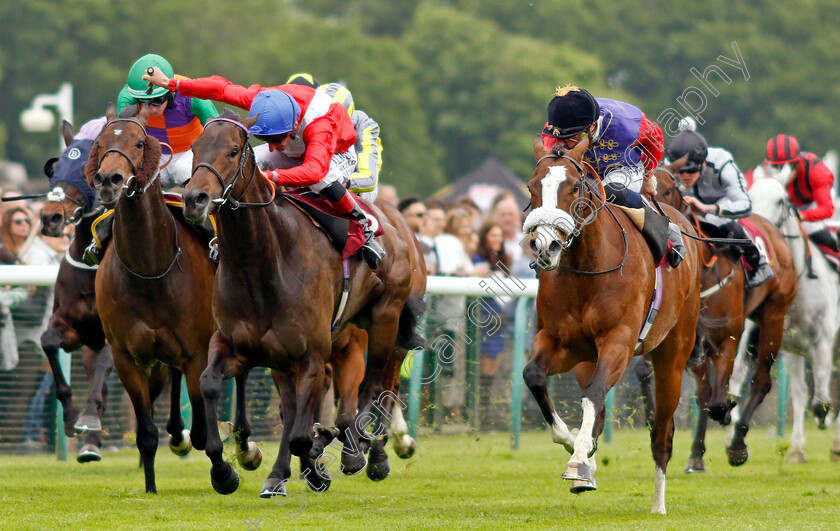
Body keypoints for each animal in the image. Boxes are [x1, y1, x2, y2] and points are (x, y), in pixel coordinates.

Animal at [85, 105, 260, 494]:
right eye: (99, 143)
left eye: (139, 142)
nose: (109, 180)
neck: (149, 268)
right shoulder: (127, 356)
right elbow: (146, 433)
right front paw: (150, 486)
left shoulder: (198, 351)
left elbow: (203, 430)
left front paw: (224, 472)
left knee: (240, 376)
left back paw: (244, 444)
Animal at [180, 112, 424, 498]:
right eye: (194, 148)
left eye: (233, 151)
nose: (194, 199)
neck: (262, 265)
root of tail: (396, 224)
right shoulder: (236, 346)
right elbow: (210, 384)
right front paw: (225, 471)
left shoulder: (312, 354)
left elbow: (302, 432)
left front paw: (321, 454)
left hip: (386, 318)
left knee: (375, 386)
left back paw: (359, 451)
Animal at [520, 138, 704, 516]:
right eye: (532, 187)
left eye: (574, 187)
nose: (545, 246)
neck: (587, 267)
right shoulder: (561, 342)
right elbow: (534, 376)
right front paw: (575, 444)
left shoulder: (619, 341)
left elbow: (593, 395)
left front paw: (578, 460)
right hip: (587, 360)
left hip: (673, 355)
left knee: (662, 433)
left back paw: (658, 504)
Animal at [728, 169, 840, 462]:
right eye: (751, 195)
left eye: (781, 200)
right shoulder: (788, 346)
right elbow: (800, 395)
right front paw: (797, 448)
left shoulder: (823, 342)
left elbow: (820, 399)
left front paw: (823, 417)